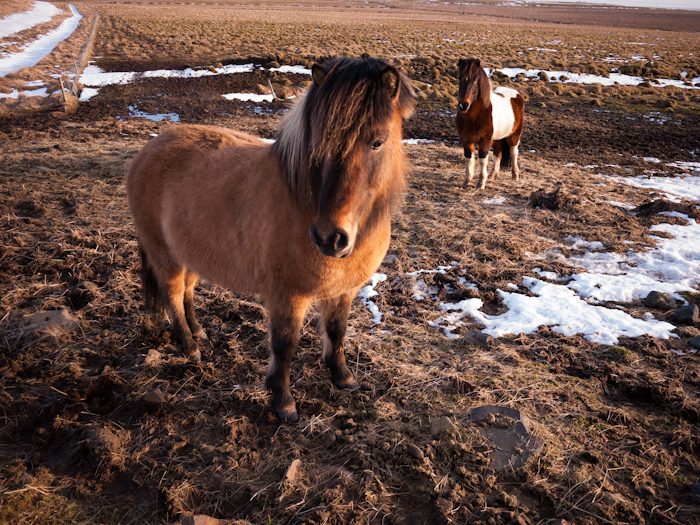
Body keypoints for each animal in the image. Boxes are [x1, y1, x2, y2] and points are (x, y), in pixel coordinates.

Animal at [127, 55, 416, 420]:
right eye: (319, 144)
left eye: (377, 142)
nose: (329, 238)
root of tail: (148, 149)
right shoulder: (286, 296)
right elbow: (285, 344)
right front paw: (283, 401)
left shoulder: (344, 291)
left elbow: (336, 331)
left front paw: (343, 377)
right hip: (164, 256)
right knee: (173, 296)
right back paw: (190, 348)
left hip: (189, 253)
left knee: (187, 293)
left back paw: (200, 334)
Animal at [454, 58, 524, 189]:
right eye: (459, 78)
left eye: (475, 79)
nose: (463, 105)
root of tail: (517, 94)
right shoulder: (466, 140)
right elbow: (468, 158)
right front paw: (467, 181)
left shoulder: (485, 141)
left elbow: (482, 160)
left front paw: (481, 183)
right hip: (497, 138)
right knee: (498, 153)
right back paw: (492, 175)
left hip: (514, 136)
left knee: (513, 153)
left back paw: (515, 175)